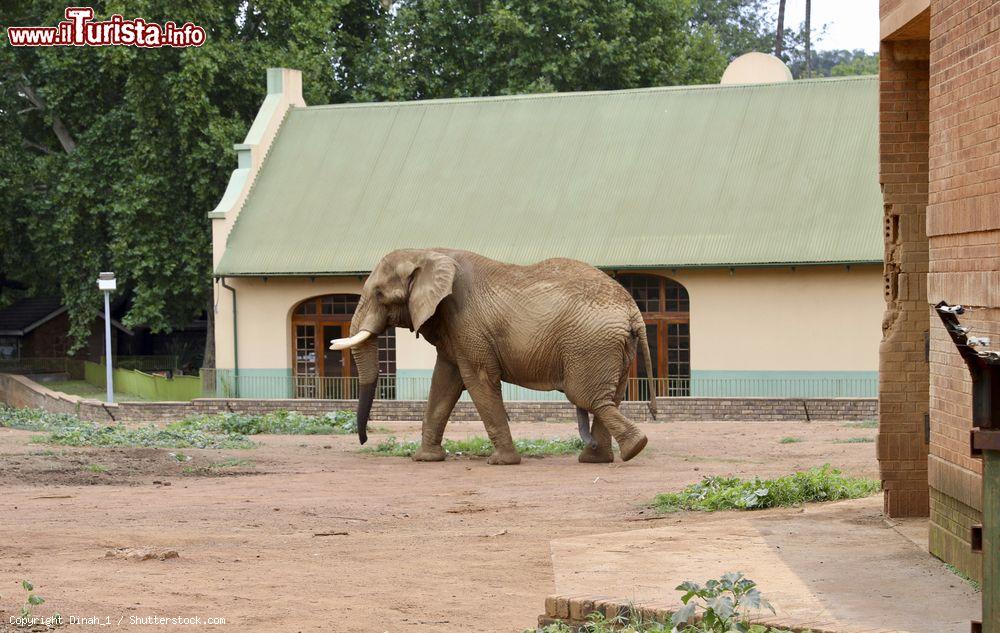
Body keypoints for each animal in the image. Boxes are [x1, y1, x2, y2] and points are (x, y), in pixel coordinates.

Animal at [330, 248, 656, 464]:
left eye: (380, 295)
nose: (363, 440)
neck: (428, 253)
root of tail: (632, 310)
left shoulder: (467, 323)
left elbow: (477, 380)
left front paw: (501, 462)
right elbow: (444, 382)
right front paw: (426, 458)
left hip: (590, 343)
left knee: (588, 397)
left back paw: (632, 449)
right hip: (612, 348)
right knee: (608, 398)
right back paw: (599, 458)